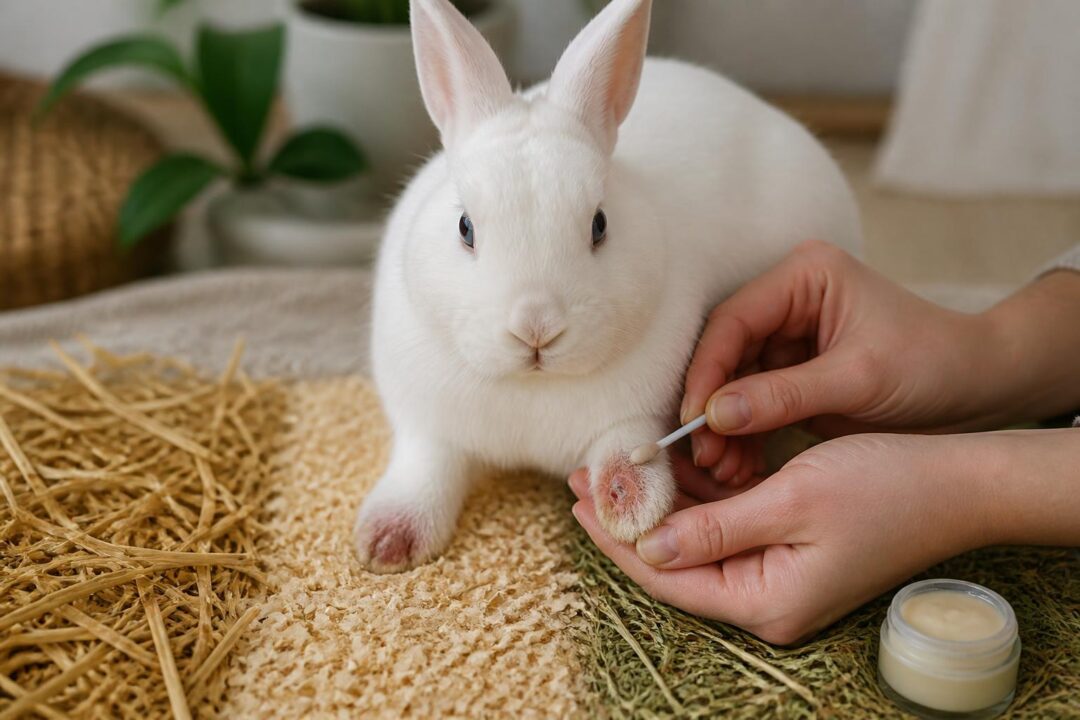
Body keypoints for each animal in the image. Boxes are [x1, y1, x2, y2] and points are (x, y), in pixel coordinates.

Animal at [355, 0, 862, 573]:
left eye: (599, 225)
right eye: (465, 228)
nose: (536, 328)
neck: (533, 388)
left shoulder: (633, 415)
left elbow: (623, 444)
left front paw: (630, 501)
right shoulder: (426, 422)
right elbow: (426, 465)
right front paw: (389, 541)